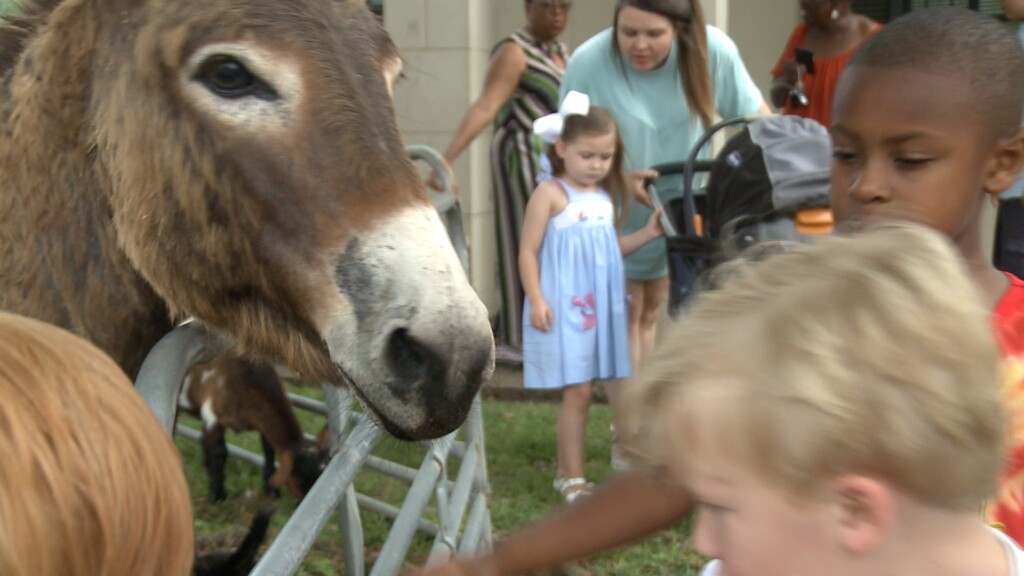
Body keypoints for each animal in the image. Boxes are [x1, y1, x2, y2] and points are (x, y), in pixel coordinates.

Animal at [180, 350, 329, 498]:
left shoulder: (260, 422)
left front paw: (271, 490)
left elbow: (269, 450)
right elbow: (218, 452)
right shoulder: (212, 414)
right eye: (301, 479)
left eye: (322, 473)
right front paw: (217, 495)